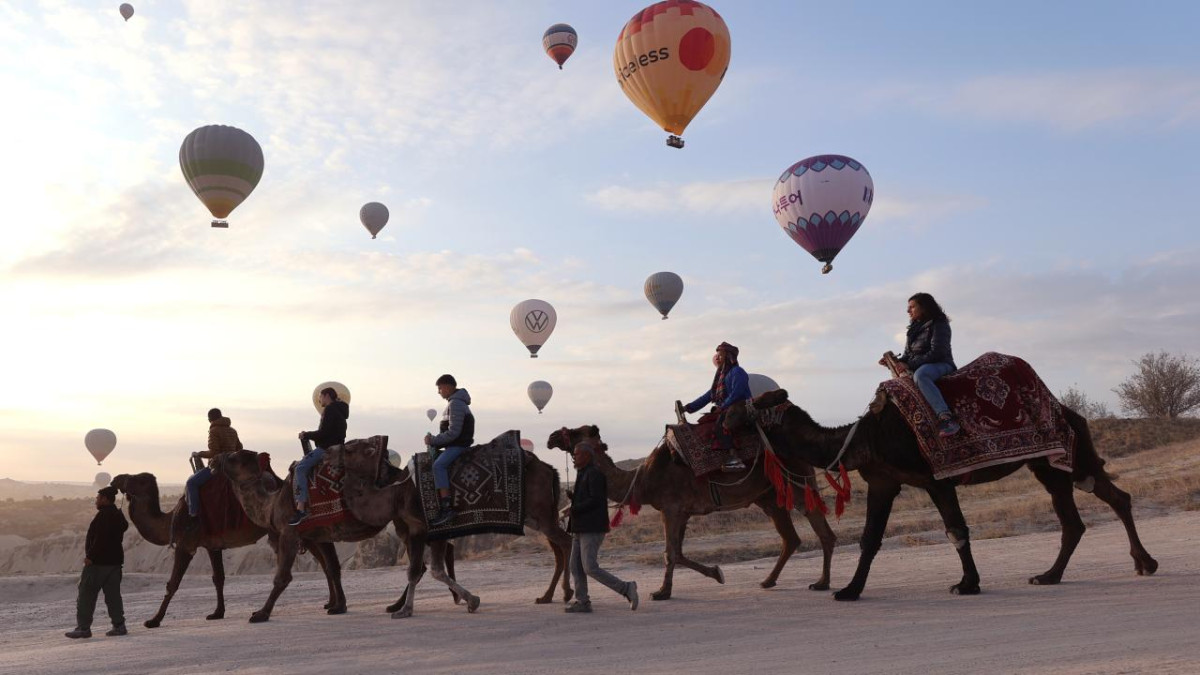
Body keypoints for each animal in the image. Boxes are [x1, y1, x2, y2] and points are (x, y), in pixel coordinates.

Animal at [110, 470, 343, 629]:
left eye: (138, 479)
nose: (116, 479)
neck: (171, 518)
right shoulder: (212, 545)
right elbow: (218, 578)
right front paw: (217, 612)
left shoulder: (186, 544)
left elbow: (173, 583)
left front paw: (154, 620)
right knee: (324, 559)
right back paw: (331, 602)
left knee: (320, 557)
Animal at [213, 446, 475, 619]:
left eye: (236, 457)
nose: (217, 458)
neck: (272, 502)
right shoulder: (320, 535)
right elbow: (333, 569)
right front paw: (338, 606)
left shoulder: (290, 532)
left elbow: (282, 577)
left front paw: (261, 613)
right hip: (403, 522)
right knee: (423, 560)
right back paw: (399, 605)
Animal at [326, 437, 573, 614]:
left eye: (349, 448)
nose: (328, 451)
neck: (396, 492)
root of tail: (549, 468)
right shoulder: (421, 531)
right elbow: (427, 569)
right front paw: (469, 600)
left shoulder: (427, 528)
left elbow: (422, 570)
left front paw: (405, 609)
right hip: (538, 517)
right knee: (558, 548)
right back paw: (548, 596)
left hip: (542, 514)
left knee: (566, 541)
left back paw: (568, 594)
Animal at [549, 422, 840, 595]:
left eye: (576, 431)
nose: (551, 437)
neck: (642, 480)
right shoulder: (683, 512)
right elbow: (677, 552)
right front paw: (710, 575)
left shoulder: (671, 508)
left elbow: (671, 553)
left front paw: (663, 592)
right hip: (769, 497)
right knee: (791, 538)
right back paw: (770, 581)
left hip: (796, 483)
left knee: (819, 529)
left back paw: (822, 582)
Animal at [724, 389, 1156, 598]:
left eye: (752, 404)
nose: (724, 416)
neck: (864, 437)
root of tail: (1069, 411)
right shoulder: (883, 481)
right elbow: (869, 539)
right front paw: (850, 590)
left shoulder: (936, 480)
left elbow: (956, 530)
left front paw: (967, 584)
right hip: (1051, 465)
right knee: (1085, 513)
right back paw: (1058, 575)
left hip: (1065, 458)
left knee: (1102, 503)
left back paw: (1135, 564)